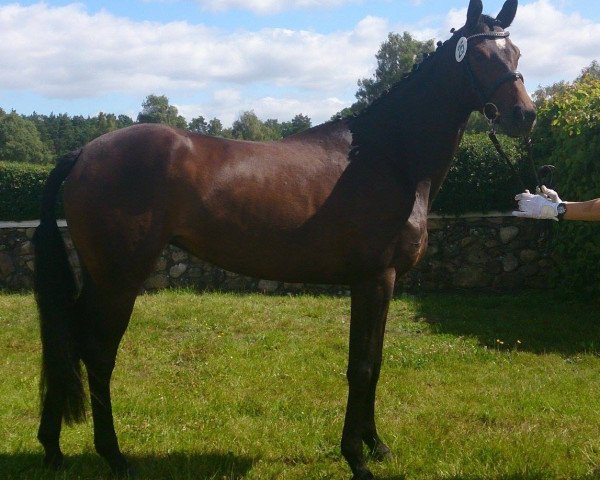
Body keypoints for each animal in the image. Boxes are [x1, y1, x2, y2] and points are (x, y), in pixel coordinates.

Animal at [35, 1, 536, 478]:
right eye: (481, 56)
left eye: (515, 52)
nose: (525, 115)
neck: (387, 156)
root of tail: (85, 152)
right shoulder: (373, 279)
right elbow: (361, 367)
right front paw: (356, 458)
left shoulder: (382, 283)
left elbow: (374, 364)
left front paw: (378, 446)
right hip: (119, 281)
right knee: (97, 353)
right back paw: (114, 456)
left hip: (101, 279)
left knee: (67, 341)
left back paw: (53, 448)